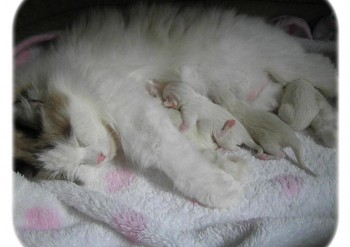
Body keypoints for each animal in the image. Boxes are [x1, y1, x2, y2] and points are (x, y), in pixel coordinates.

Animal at [14, 4, 336, 208]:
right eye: (70, 172)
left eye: (78, 139)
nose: (102, 158)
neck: (65, 75)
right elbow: (195, 151)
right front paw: (231, 169)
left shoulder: (131, 109)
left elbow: (170, 157)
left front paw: (218, 193)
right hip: (278, 89)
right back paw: (328, 132)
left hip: (287, 64)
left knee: (324, 67)